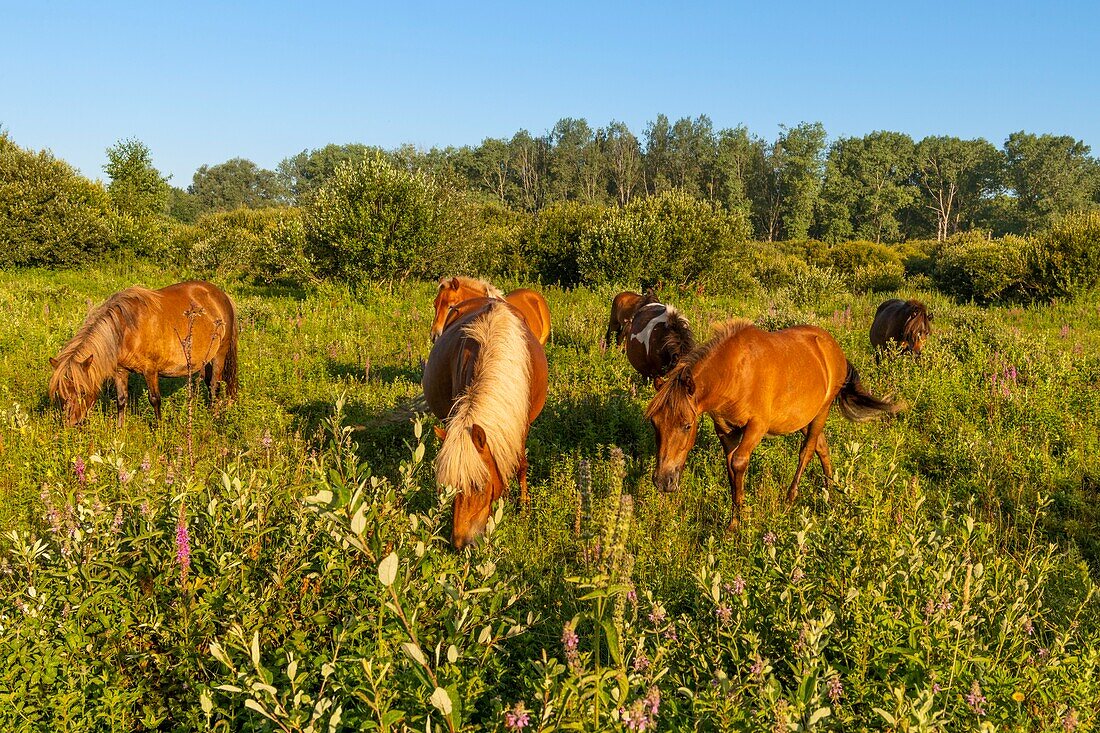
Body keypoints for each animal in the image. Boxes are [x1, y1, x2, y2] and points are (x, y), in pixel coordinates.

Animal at [48, 280, 237, 429]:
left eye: (83, 392)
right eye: (61, 394)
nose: (72, 423)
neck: (125, 329)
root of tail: (222, 296)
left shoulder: (150, 371)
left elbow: (155, 399)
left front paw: (160, 431)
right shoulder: (120, 371)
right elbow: (121, 399)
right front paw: (119, 429)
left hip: (219, 354)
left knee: (214, 386)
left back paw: (214, 417)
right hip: (204, 359)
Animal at [420, 297, 545, 548]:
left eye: (478, 486)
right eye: (447, 486)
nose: (460, 543)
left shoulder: (521, 426)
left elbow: (521, 465)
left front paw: (523, 506)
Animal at [646, 316, 897, 528]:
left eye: (687, 425)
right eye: (655, 424)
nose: (663, 481)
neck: (735, 374)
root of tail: (834, 348)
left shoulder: (756, 427)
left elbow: (739, 463)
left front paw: (737, 523)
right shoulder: (725, 431)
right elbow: (730, 468)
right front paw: (735, 520)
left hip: (822, 412)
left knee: (807, 450)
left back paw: (791, 498)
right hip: (803, 417)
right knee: (822, 447)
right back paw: (830, 492)